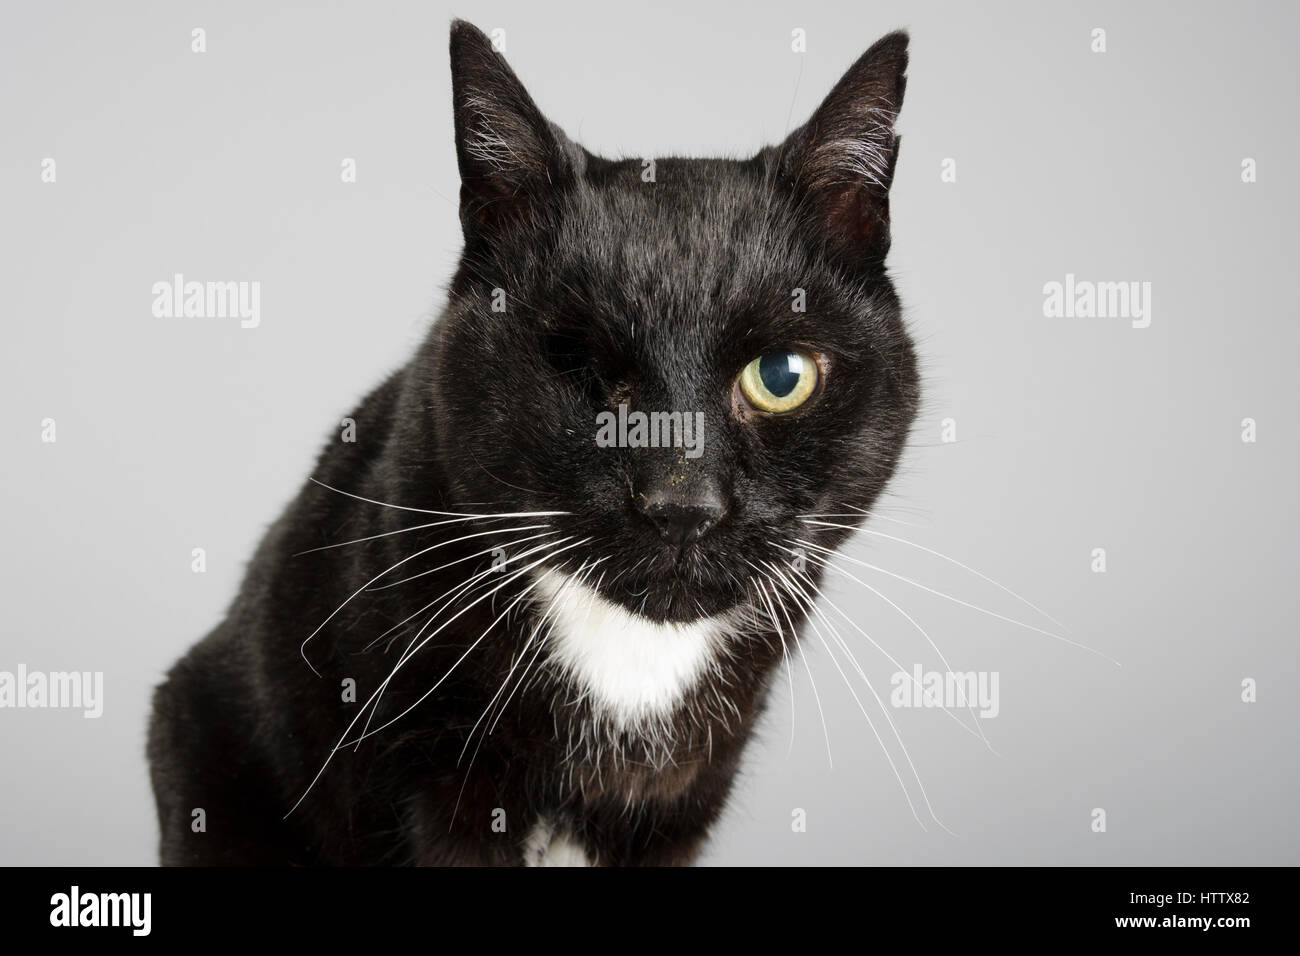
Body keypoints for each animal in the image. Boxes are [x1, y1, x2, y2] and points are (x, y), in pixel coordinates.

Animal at [147, 18, 920, 868]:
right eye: (579, 370)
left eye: (780, 377)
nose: (681, 504)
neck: (630, 667)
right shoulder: (435, 774)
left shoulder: (684, 798)